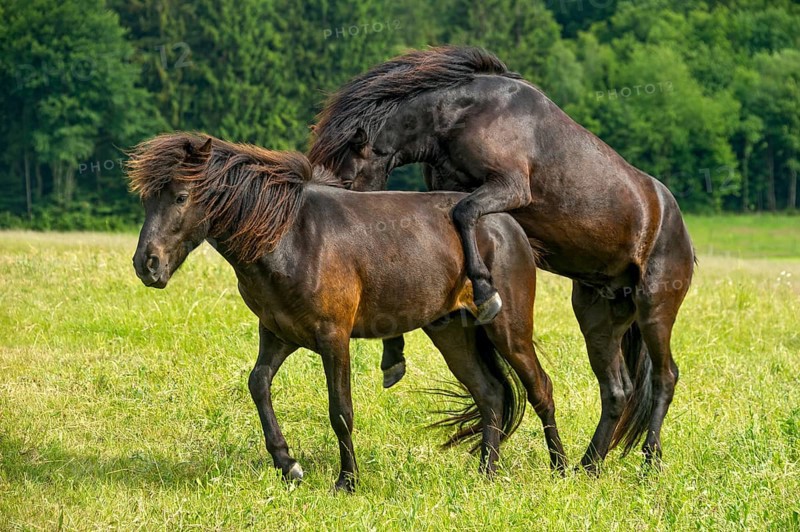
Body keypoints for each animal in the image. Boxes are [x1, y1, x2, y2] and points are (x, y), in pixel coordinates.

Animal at [128, 132, 566, 492]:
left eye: (181, 197)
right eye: (147, 200)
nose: (146, 265)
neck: (290, 237)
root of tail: (507, 225)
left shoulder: (332, 337)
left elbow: (340, 410)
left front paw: (347, 481)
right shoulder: (278, 334)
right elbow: (258, 384)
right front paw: (288, 465)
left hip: (508, 330)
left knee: (540, 389)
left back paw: (560, 470)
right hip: (451, 332)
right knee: (490, 394)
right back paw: (486, 474)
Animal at [308, 46, 696, 472]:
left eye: (346, 180)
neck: (460, 115)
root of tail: (676, 225)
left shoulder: (508, 186)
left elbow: (464, 214)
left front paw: (485, 292)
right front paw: (394, 354)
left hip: (654, 308)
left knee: (665, 377)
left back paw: (649, 461)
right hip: (598, 316)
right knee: (617, 390)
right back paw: (588, 466)